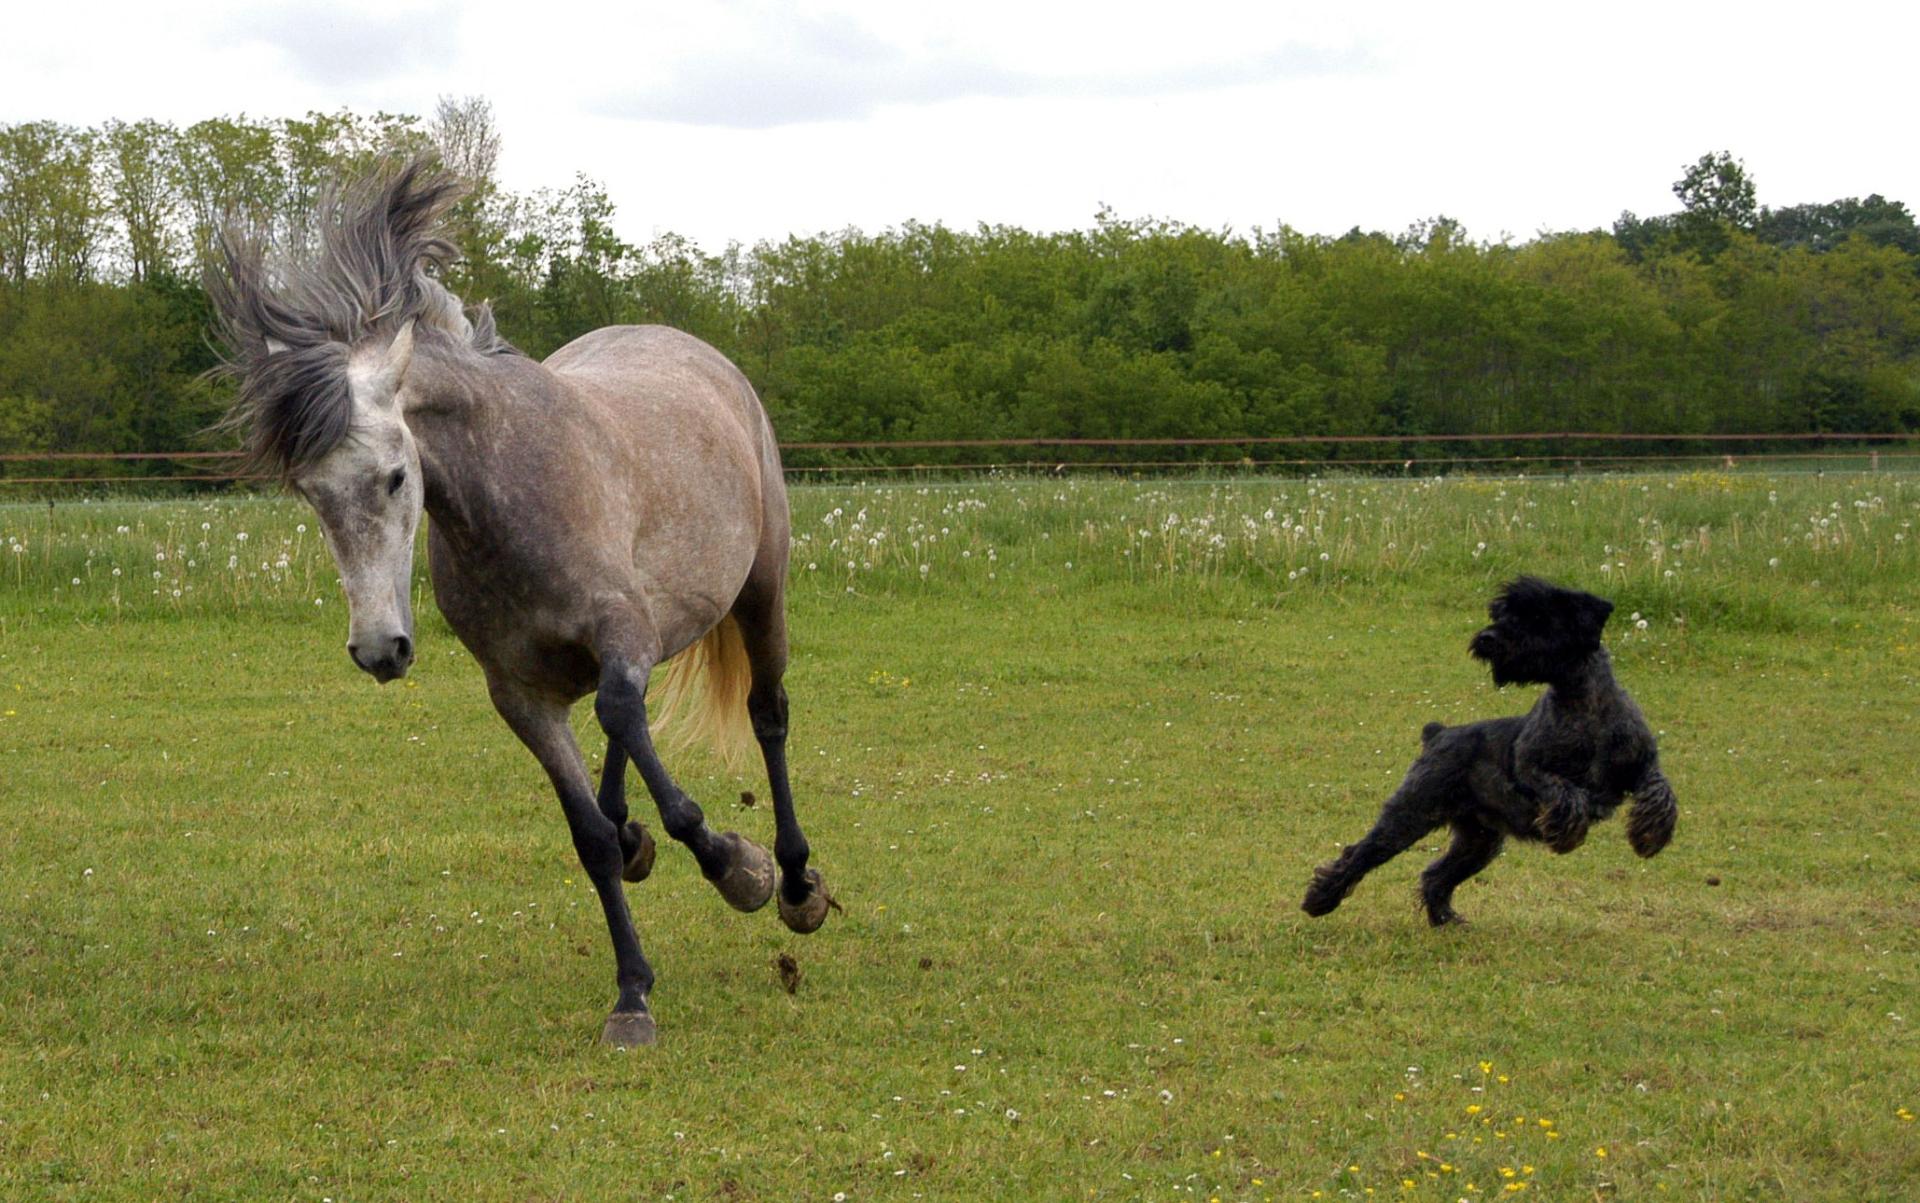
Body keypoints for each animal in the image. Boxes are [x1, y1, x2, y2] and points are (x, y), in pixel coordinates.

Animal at [208, 160, 833, 1043]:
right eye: (310, 493)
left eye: (395, 476)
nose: (379, 649)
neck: (513, 492)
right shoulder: (522, 696)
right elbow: (589, 836)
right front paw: (632, 992)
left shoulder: (623, 631)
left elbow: (662, 773)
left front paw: (735, 866)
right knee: (625, 731)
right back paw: (638, 835)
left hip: (758, 593)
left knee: (763, 714)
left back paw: (796, 881)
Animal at [1297, 579, 1674, 928]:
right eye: (1500, 613)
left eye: (1539, 616)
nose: (1488, 638)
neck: (1585, 706)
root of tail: (1438, 733)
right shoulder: (1529, 770)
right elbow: (1565, 791)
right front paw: (1567, 833)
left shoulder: (1644, 763)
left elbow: (1661, 790)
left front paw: (1650, 835)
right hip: (1411, 814)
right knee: (1360, 853)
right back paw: (1320, 901)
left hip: (1478, 841)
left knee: (1436, 875)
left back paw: (1445, 920)